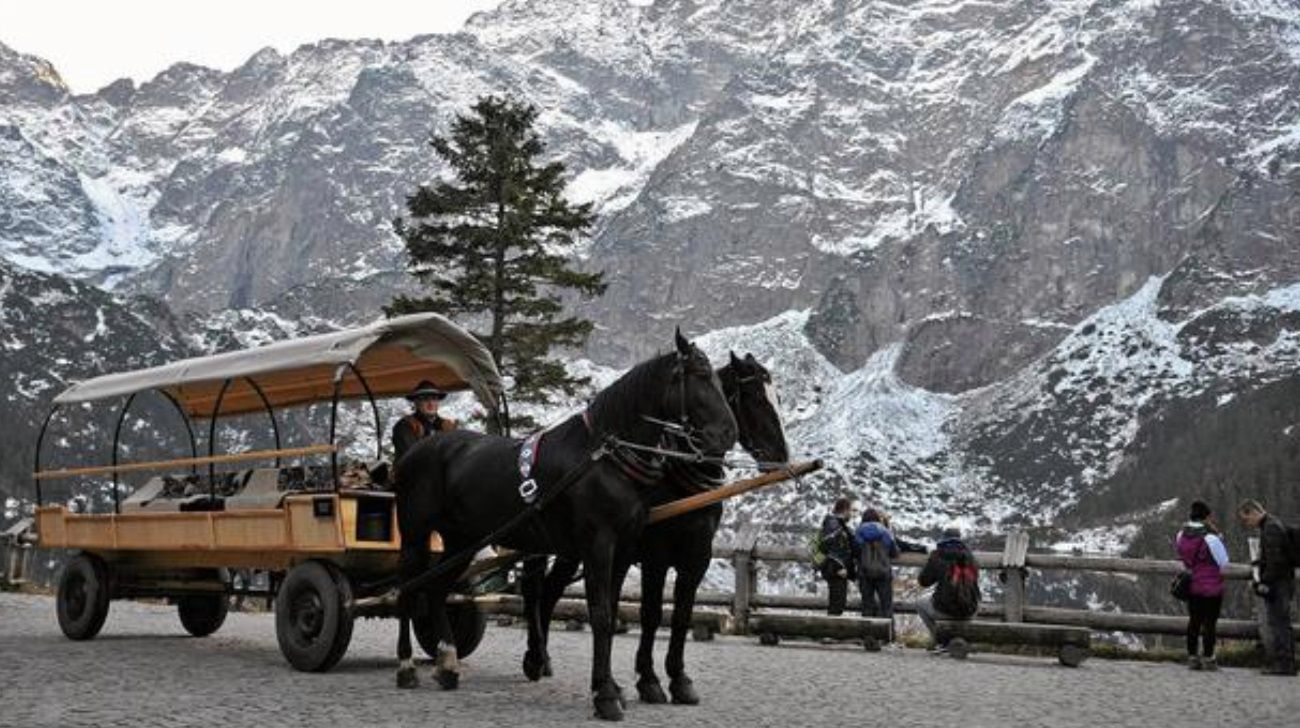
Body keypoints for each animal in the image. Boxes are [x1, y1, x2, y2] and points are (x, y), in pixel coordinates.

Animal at [390, 332, 738, 717]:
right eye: (700, 376)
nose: (727, 434)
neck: (604, 458)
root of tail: (417, 450)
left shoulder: (624, 549)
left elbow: (611, 613)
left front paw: (612, 686)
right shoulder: (599, 545)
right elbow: (600, 615)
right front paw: (605, 694)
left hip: (461, 540)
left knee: (437, 590)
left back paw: (447, 664)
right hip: (414, 536)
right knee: (407, 590)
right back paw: (406, 667)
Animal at [520, 353, 790, 707]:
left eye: (778, 397)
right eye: (756, 397)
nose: (781, 457)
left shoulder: (697, 555)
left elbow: (681, 615)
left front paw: (679, 679)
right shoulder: (655, 555)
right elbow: (651, 613)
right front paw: (648, 680)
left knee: (550, 590)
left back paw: (544, 659)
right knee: (537, 591)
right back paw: (535, 657)